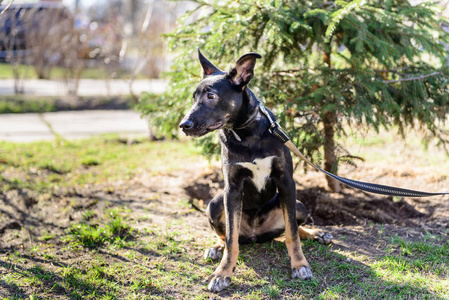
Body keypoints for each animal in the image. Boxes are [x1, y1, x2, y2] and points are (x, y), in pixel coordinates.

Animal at [179, 50, 332, 292]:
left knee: (292, 227)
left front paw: (300, 265)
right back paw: (216, 248)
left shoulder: (286, 182)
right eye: (194, 98)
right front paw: (223, 273)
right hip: (214, 204)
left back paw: (317, 233)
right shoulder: (232, 189)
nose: (183, 125)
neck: (246, 134)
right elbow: (231, 240)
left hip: (299, 204)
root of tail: (254, 235)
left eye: (211, 96)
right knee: (225, 236)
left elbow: (292, 233)